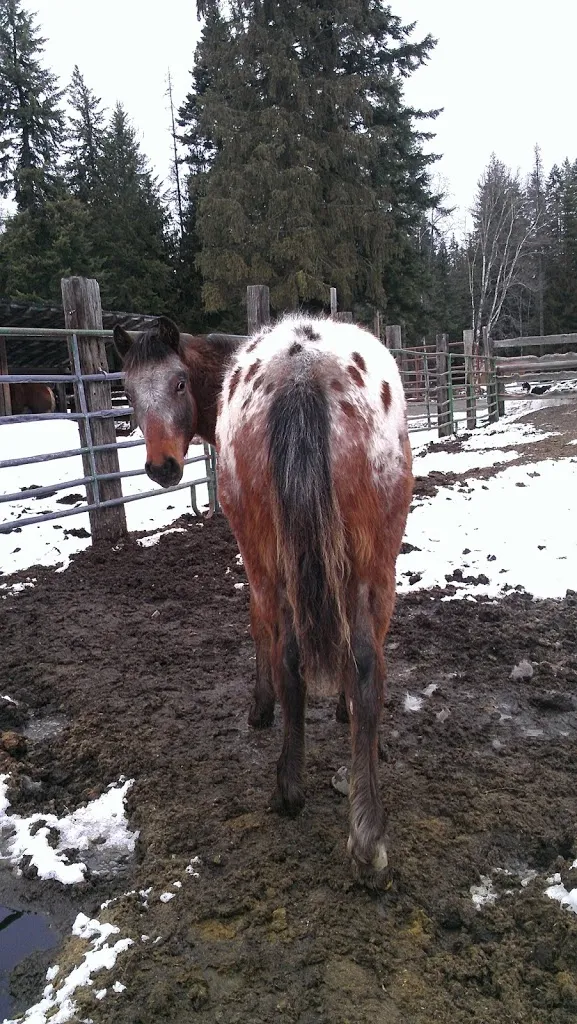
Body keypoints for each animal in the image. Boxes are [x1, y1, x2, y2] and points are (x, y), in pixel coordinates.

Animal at [114, 314, 413, 886]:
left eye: (179, 384)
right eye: (128, 392)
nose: (162, 467)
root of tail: (304, 372)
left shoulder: (252, 559)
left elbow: (260, 629)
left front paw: (260, 706)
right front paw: (344, 713)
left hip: (272, 558)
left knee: (291, 657)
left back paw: (289, 790)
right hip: (376, 561)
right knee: (367, 667)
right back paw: (368, 838)